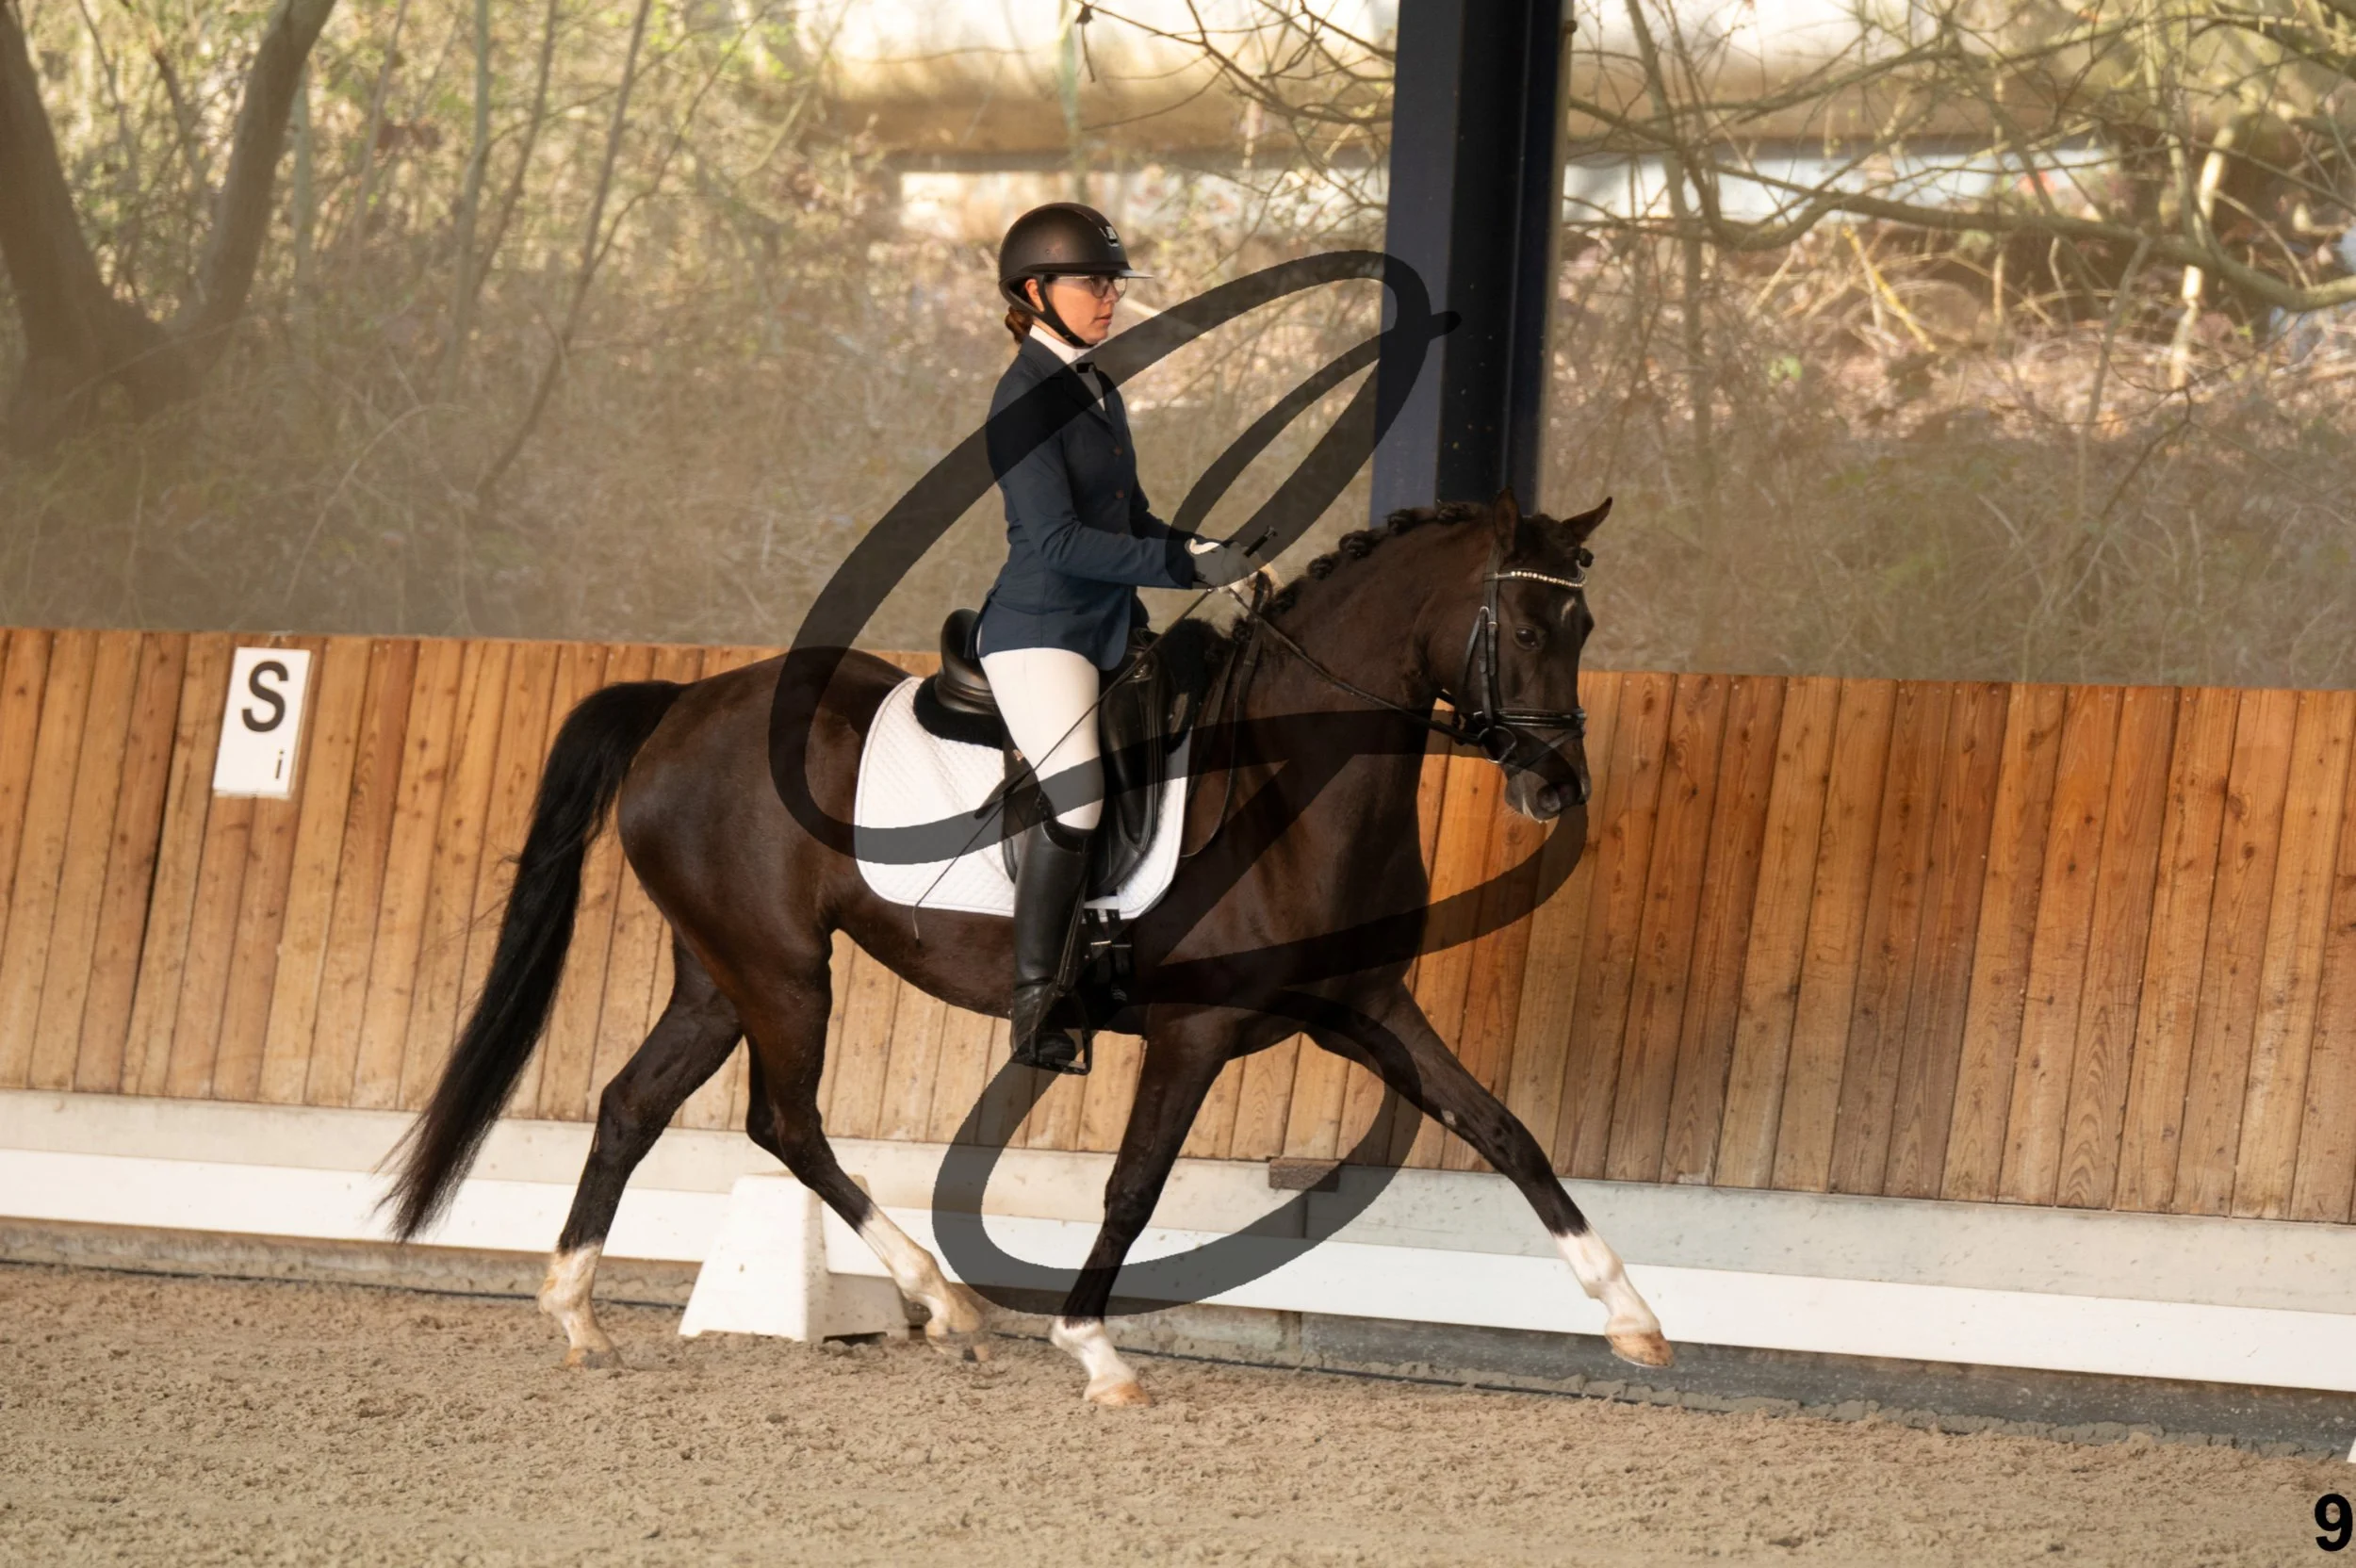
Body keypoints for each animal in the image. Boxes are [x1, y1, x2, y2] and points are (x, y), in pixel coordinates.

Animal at [385, 488, 1671, 1406]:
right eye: (1522, 624)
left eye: (1586, 624)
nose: (1557, 787)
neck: (1289, 785)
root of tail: (682, 705)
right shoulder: (1194, 1031)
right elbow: (1134, 1185)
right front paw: (1095, 1349)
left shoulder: (1366, 1006)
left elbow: (1505, 1131)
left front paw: (1631, 1315)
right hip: (782, 973)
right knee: (783, 1120)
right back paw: (944, 1305)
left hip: (720, 973)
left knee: (632, 1105)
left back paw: (580, 1314)